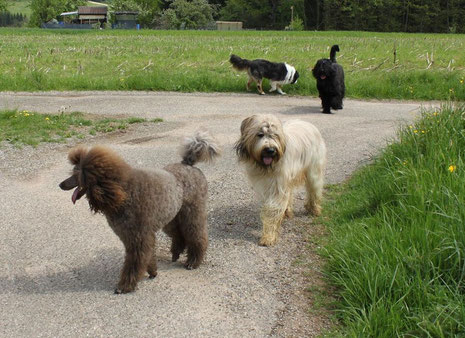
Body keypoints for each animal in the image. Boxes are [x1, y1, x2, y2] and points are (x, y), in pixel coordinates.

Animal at [58, 132, 221, 294]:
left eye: (78, 174)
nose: (60, 184)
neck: (123, 194)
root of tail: (188, 164)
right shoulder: (134, 236)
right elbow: (146, 257)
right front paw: (153, 271)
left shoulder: (138, 236)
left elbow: (135, 262)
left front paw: (125, 286)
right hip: (172, 216)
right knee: (178, 234)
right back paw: (176, 253)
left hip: (192, 212)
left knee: (197, 235)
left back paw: (193, 262)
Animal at [234, 113, 324, 246]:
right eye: (260, 134)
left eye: (275, 135)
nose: (270, 150)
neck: (267, 167)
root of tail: (309, 124)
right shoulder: (267, 184)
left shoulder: (278, 185)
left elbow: (272, 209)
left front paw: (268, 236)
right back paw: (287, 211)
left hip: (314, 170)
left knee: (314, 189)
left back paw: (314, 209)